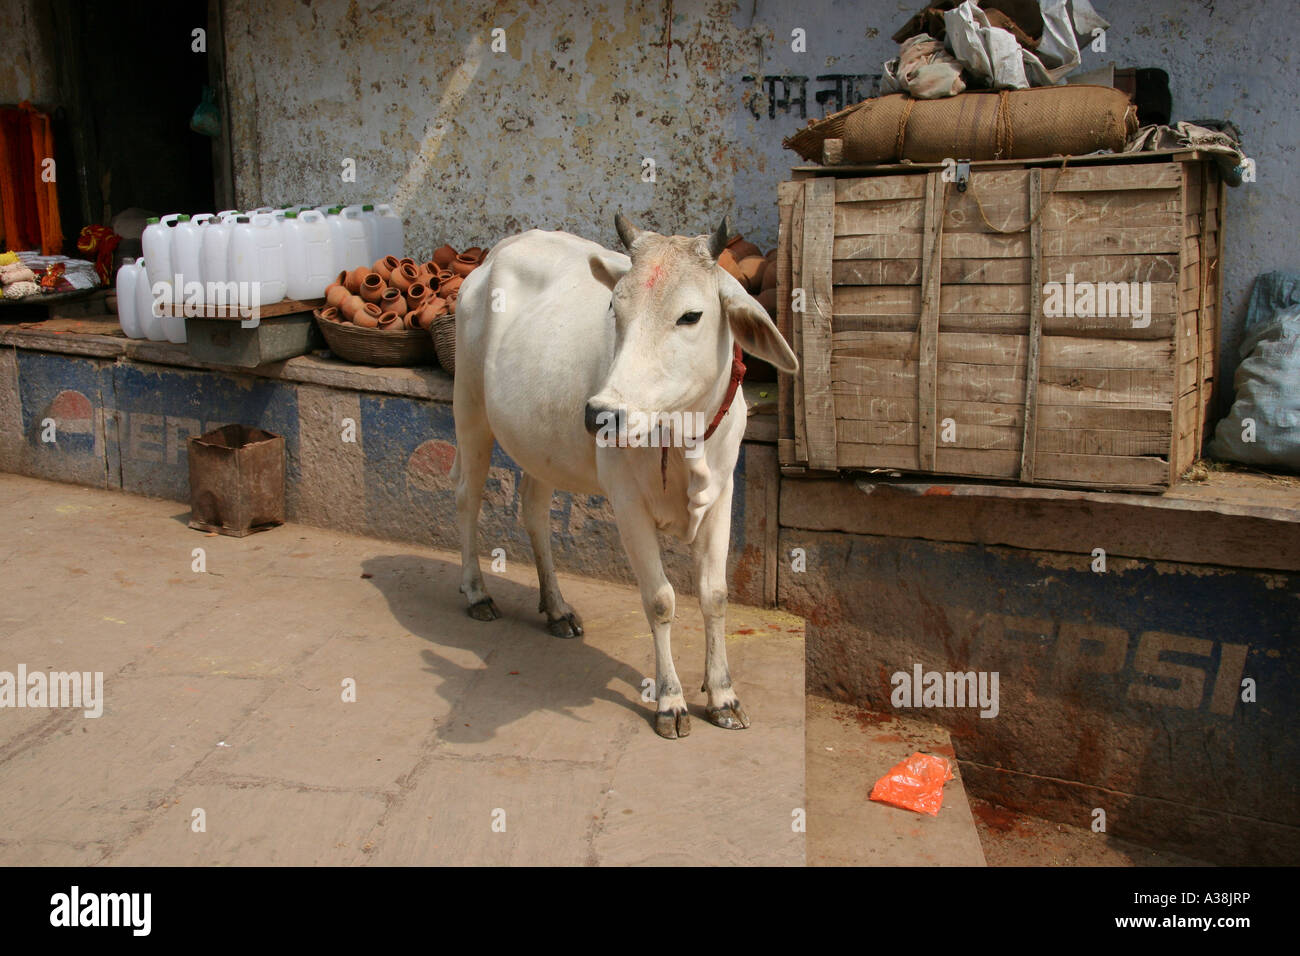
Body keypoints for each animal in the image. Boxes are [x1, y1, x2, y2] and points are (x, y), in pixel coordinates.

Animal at [451, 213, 798, 739]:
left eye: (690, 316)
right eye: (615, 308)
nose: (600, 414)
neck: (680, 434)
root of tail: (493, 256)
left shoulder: (722, 495)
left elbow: (715, 595)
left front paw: (722, 694)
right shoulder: (627, 504)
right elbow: (660, 600)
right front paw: (671, 701)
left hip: (539, 446)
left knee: (534, 511)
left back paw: (557, 609)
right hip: (470, 412)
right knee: (468, 500)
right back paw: (476, 592)